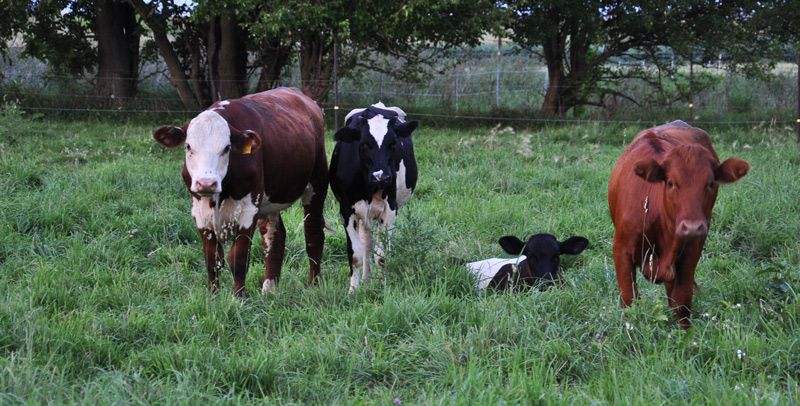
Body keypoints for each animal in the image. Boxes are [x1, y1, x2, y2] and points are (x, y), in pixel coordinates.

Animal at [152, 87, 328, 296]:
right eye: (188, 146)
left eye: (227, 148)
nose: (206, 183)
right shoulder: (200, 212)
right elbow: (213, 260)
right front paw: (213, 297)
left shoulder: (248, 210)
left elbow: (238, 259)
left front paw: (239, 298)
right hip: (270, 201)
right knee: (274, 238)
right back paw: (269, 290)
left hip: (317, 183)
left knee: (313, 234)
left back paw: (314, 285)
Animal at [329, 103, 419, 293]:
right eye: (364, 144)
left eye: (393, 143)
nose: (381, 177)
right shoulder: (346, 210)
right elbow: (355, 254)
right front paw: (353, 291)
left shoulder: (390, 209)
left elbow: (382, 255)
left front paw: (381, 286)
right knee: (366, 244)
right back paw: (365, 279)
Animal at [608, 120, 749, 329]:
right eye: (670, 183)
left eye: (711, 184)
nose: (692, 227)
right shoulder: (621, 250)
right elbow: (629, 301)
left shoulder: (690, 252)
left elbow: (681, 302)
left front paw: (685, 334)